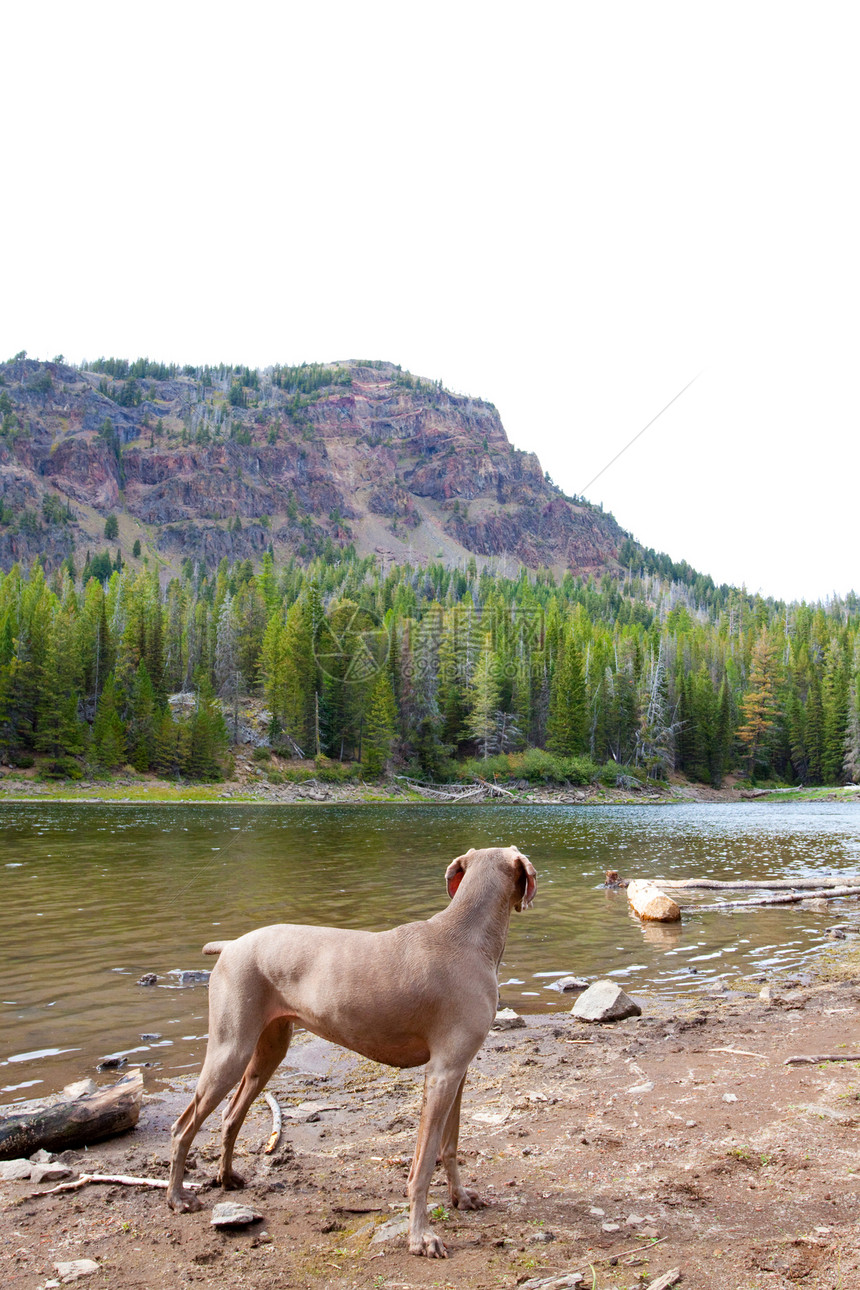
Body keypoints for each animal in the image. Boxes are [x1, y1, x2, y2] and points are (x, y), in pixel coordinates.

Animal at [167, 846, 538, 1259]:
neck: (466, 937)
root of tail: (231, 945)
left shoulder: (458, 1071)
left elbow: (451, 1145)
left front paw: (461, 1198)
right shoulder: (441, 1073)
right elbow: (423, 1163)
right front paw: (421, 1237)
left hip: (268, 1050)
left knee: (231, 1116)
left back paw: (228, 1177)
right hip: (229, 1049)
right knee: (182, 1127)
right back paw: (178, 1198)